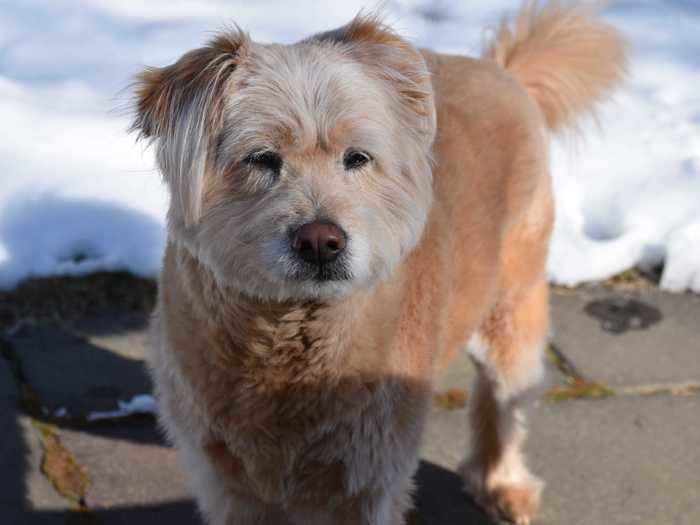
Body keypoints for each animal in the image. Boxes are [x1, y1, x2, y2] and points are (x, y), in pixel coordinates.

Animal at [131, 4, 624, 524]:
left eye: (357, 158)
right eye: (262, 158)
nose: (321, 242)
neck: (288, 334)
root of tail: (501, 70)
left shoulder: (371, 471)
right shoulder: (226, 478)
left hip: (513, 301)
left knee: (503, 400)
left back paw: (502, 483)